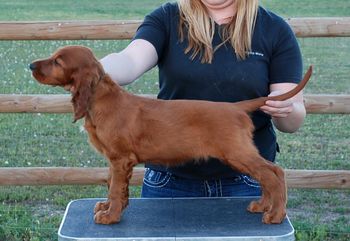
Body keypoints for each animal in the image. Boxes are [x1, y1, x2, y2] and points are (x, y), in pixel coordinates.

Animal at [30, 46, 314, 225]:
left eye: (57, 61)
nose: (31, 65)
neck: (100, 98)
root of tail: (235, 107)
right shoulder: (116, 160)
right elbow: (115, 187)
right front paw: (110, 208)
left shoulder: (121, 159)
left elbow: (114, 189)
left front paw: (110, 217)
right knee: (268, 174)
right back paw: (263, 205)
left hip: (236, 152)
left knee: (273, 173)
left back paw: (275, 215)